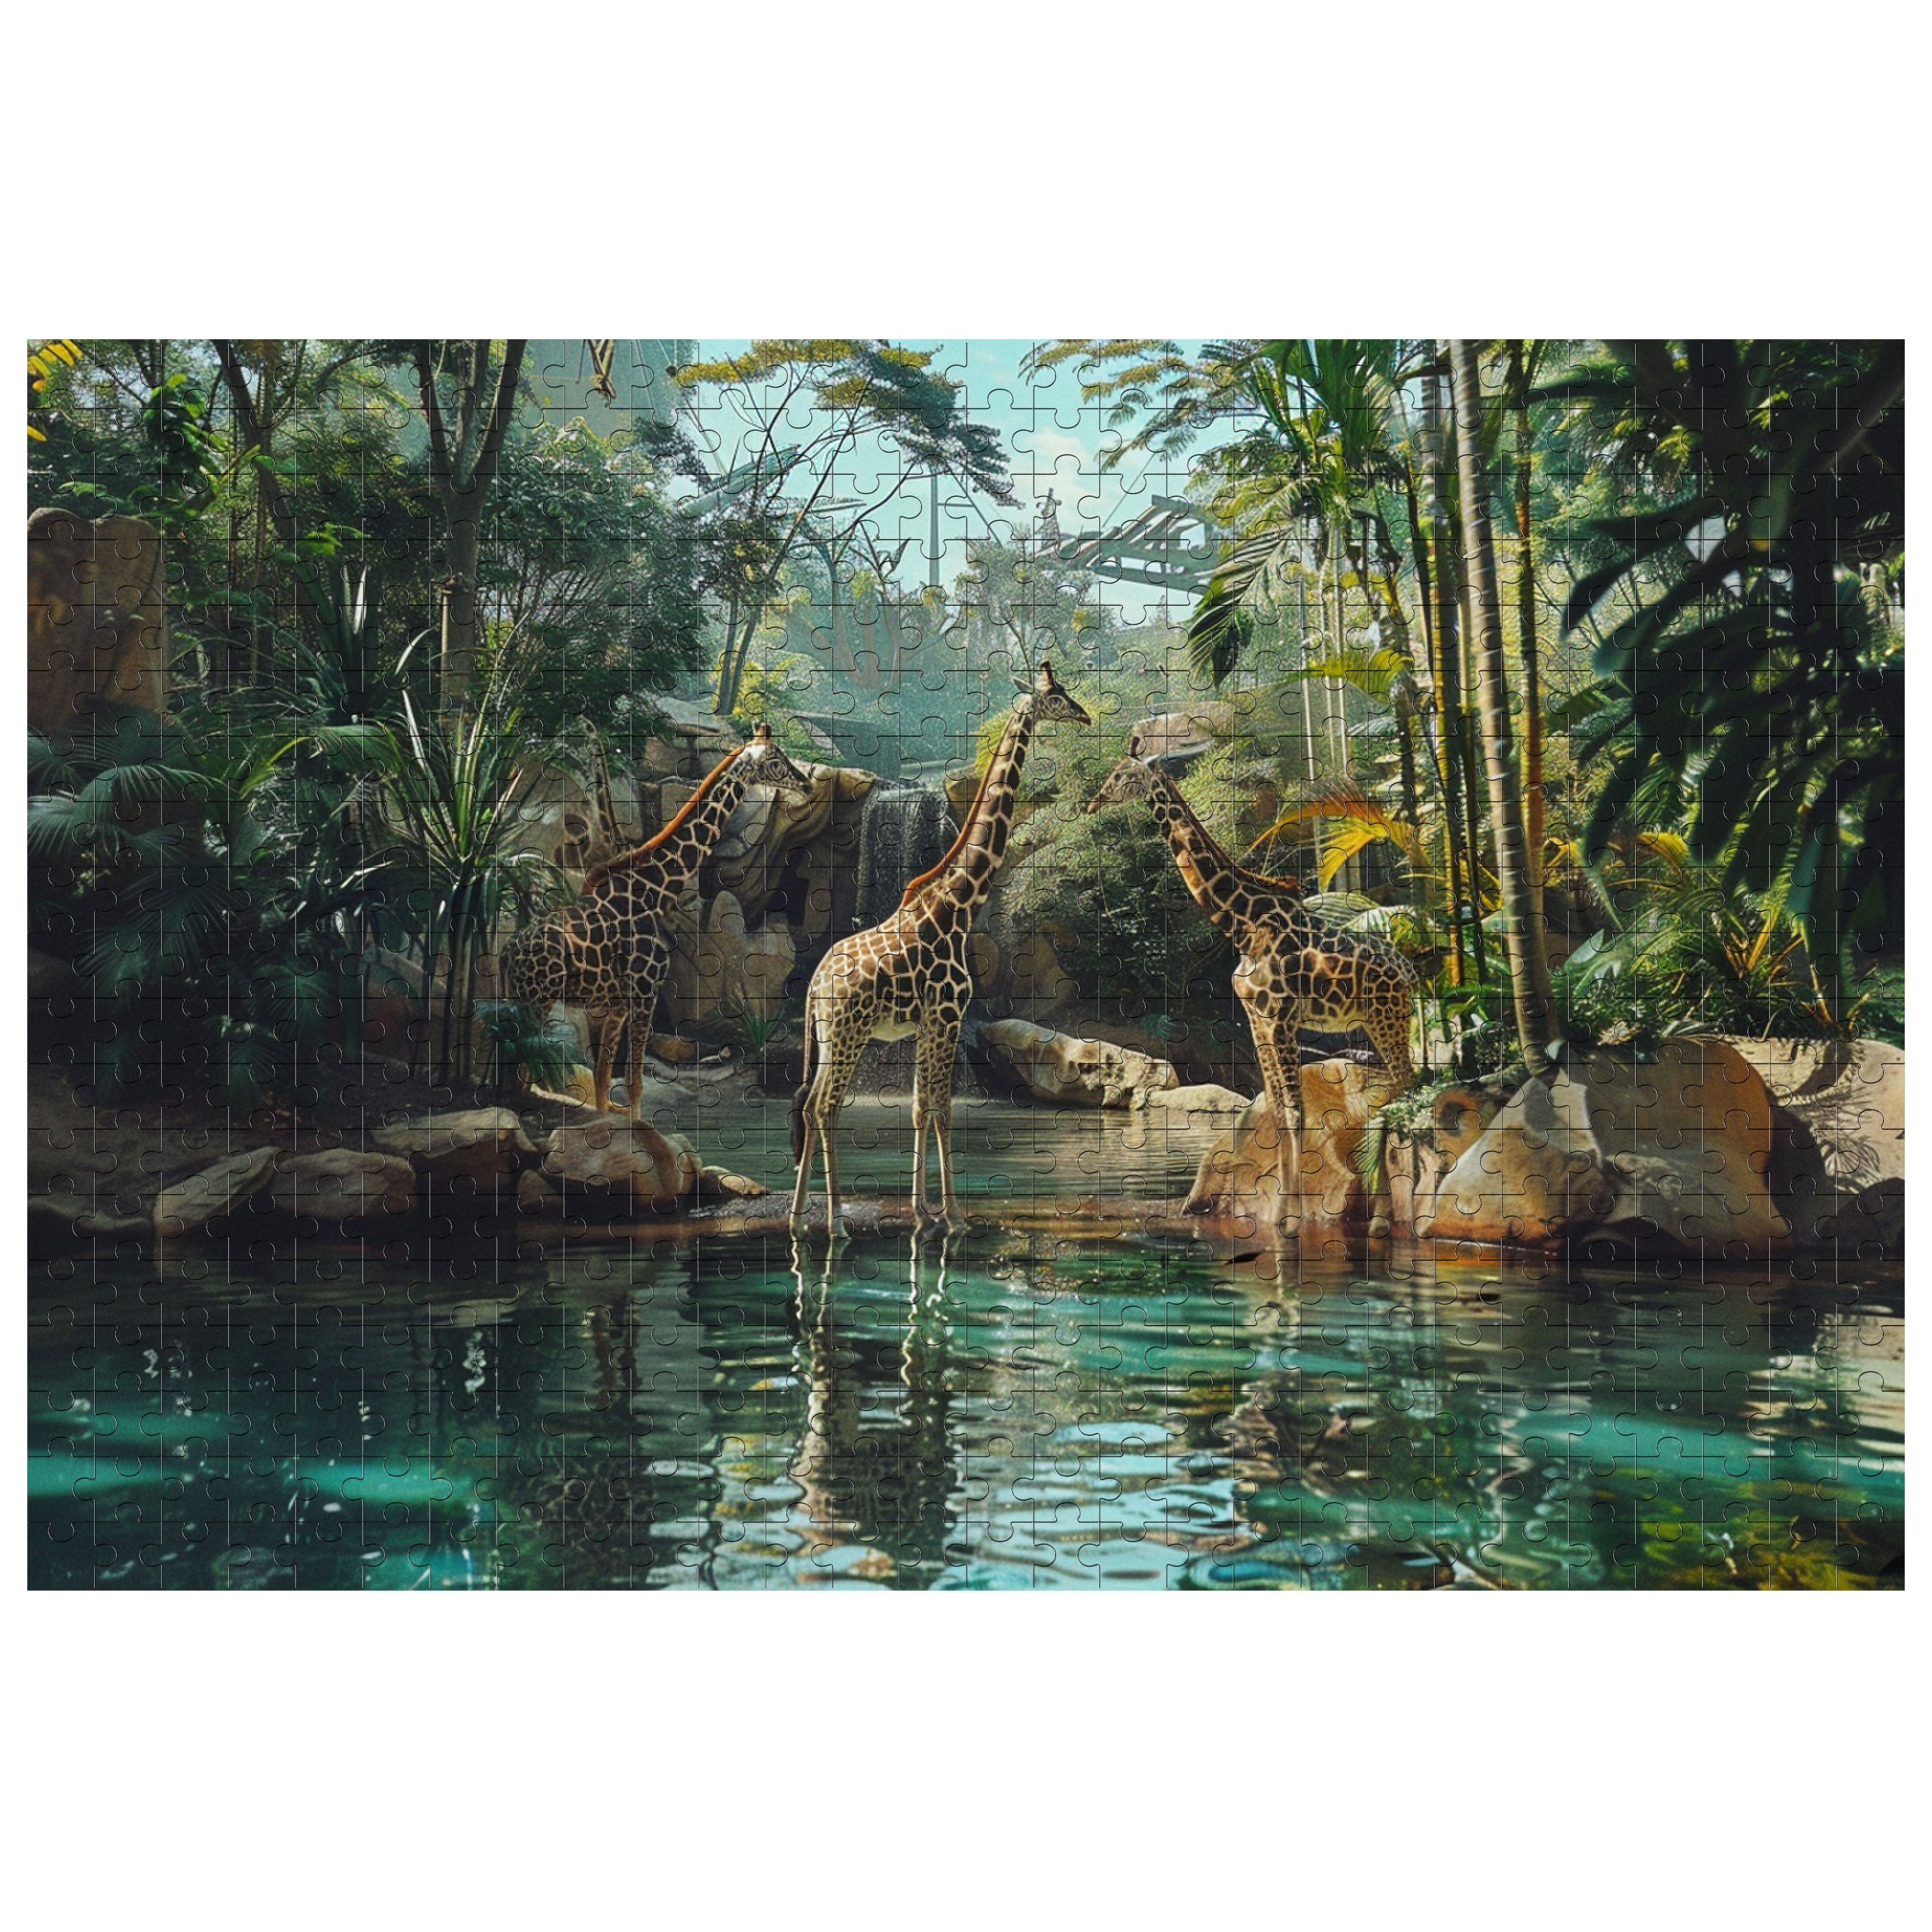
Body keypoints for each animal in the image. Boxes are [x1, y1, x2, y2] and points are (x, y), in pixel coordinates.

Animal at [501, 723, 810, 1116]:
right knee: (520, 1074)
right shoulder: (645, 989)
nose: (807, 784)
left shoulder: (618, 1000)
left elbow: (604, 1081)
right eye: (776, 760)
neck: (655, 890)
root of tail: (508, 954)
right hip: (536, 1000)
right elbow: (633, 1086)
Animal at [790, 662, 1092, 1230]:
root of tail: (814, 986)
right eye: (1057, 697)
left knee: (807, 1101)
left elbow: (918, 1107)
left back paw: (800, 1211)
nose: (1085, 715)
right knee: (826, 1105)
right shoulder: (948, 1013)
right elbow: (943, 1109)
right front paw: (953, 1214)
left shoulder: (928, 1021)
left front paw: (923, 1209)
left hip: (826, 1035)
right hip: (849, 1032)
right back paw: (835, 1217)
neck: (959, 905)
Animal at [1087, 754, 1418, 1233]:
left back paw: (1385, 1218)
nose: (1094, 800)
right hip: (1378, 1022)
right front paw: (1280, 1211)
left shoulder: (1279, 1015)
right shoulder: (1256, 1016)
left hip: (1387, 1019)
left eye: (1122, 775)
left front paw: (1291, 1219)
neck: (1241, 922)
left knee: (1410, 1090)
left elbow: (1296, 1111)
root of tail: (1410, 973)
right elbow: (1278, 1111)